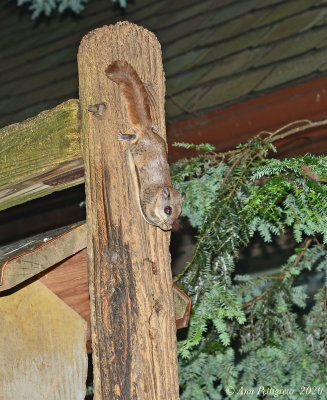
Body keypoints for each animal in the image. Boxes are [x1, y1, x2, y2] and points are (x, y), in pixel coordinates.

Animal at [106, 61, 186, 231]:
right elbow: (152, 216)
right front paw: (163, 225)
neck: (157, 197)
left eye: (180, 213)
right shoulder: (148, 203)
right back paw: (125, 137)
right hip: (137, 149)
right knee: (133, 139)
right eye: (168, 210)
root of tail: (147, 130)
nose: (171, 223)